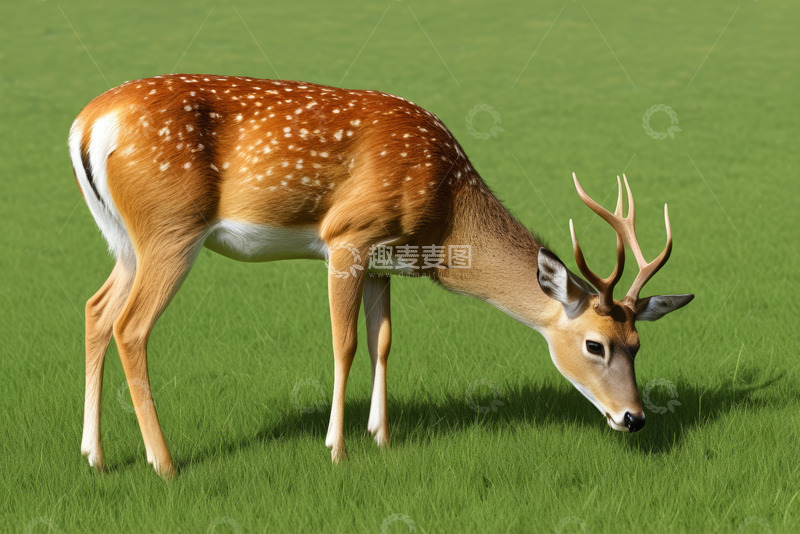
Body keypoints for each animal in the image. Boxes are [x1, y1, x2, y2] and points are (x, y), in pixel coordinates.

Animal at [69, 74, 693, 478]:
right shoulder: (347, 236)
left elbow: (383, 342)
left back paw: (94, 456)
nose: (635, 418)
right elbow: (344, 343)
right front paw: (336, 449)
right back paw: (165, 464)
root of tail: (88, 123)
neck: (445, 215)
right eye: (595, 344)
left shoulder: (382, 262)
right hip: (170, 227)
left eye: (638, 344)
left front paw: (383, 439)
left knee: (96, 309)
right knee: (131, 326)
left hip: (124, 238)